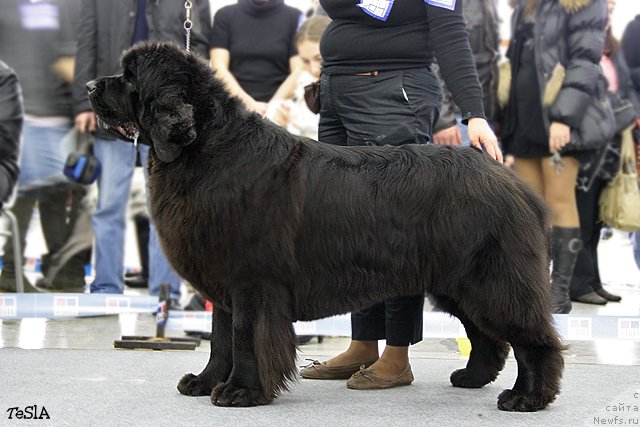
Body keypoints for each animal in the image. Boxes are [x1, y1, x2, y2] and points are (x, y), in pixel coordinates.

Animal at [89, 42, 564, 412]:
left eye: (130, 77)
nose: (91, 86)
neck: (208, 149)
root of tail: (508, 177)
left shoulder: (252, 283)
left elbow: (244, 337)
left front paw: (241, 392)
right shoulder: (223, 279)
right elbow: (219, 339)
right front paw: (205, 383)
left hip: (494, 278)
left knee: (532, 339)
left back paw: (527, 397)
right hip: (458, 281)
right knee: (487, 336)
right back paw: (471, 376)